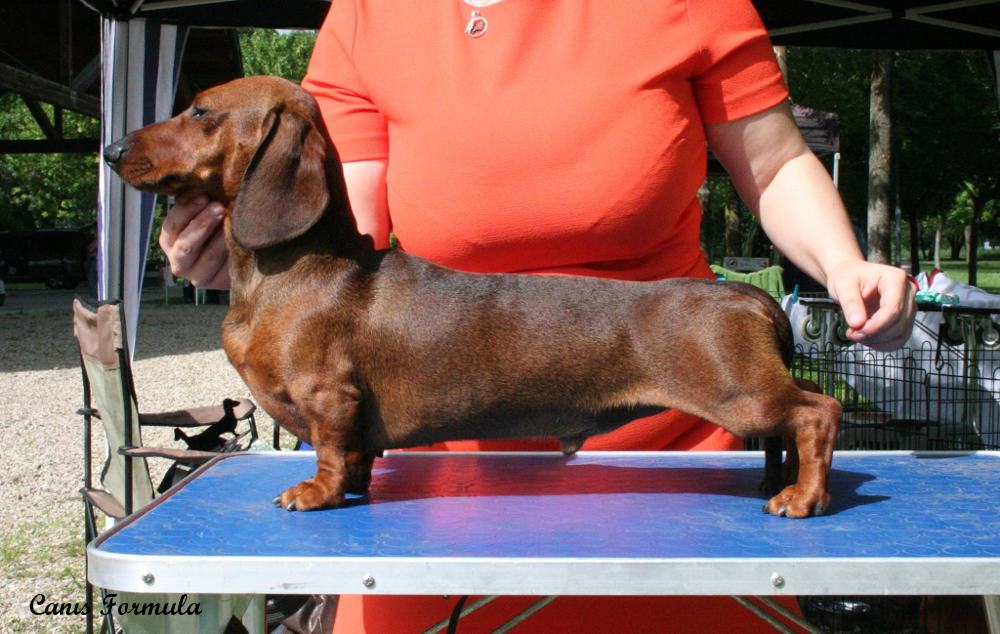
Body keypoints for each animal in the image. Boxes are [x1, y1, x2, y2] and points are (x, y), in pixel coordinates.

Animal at [105, 76, 840, 516]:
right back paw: (775, 481)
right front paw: (354, 488)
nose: (110, 149)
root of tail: (748, 297)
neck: (294, 267)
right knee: (794, 416)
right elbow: (356, 457)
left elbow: (332, 452)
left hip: (739, 392)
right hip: (753, 393)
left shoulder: (328, 395)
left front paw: (317, 493)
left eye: (200, 110)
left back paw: (801, 497)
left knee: (817, 413)